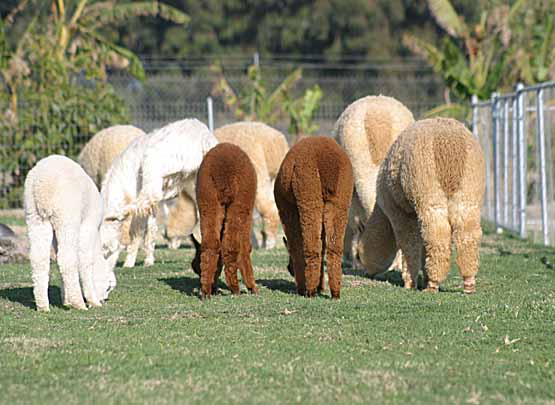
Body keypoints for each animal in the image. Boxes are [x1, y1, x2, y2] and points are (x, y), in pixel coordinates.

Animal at [24, 155, 116, 311]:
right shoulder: (88, 225)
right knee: (66, 259)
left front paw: (66, 300)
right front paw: (92, 301)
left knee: (39, 259)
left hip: (35, 216)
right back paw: (79, 303)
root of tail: (42, 187)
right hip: (66, 215)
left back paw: (43, 306)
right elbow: (85, 261)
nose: (104, 299)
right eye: (108, 287)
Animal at [100, 118, 218, 269]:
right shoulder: (152, 207)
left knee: (148, 197)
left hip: (154, 167)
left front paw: (129, 263)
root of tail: (203, 137)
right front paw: (149, 260)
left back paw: (122, 212)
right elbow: (151, 226)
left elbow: (137, 229)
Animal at [190, 143, 258, 299]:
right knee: (230, 243)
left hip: (207, 198)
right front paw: (252, 287)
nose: (214, 288)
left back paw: (205, 292)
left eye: (196, 268)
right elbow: (245, 247)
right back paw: (235, 289)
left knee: (211, 243)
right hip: (240, 201)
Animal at [274, 136, 353, 298]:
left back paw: (309, 291)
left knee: (311, 245)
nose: (289, 269)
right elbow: (322, 244)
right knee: (333, 247)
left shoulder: (287, 209)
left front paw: (304, 287)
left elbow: (296, 244)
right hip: (341, 197)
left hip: (308, 191)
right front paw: (320, 287)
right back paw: (335, 292)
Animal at [358, 118, 485, 293]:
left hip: (427, 190)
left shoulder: (402, 213)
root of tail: (451, 146)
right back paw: (468, 283)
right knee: (467, 234)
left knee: (437, 235)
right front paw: (423, 277)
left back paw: (433, 284)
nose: (366, 272)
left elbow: (409, 243)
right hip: (468, 191)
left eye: (358, 255)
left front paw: (410, 283)